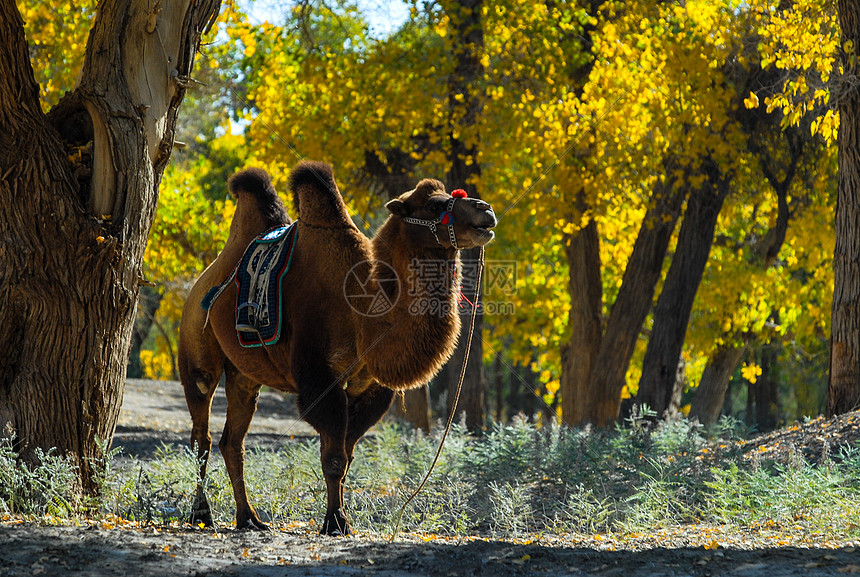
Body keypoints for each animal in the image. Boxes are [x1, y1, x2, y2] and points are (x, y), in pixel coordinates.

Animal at [176, 160, 498, 532]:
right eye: (434, 205)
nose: (485, 210)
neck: (365, 316)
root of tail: (204, 279)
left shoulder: (369, 387)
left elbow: (346, 458)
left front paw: (340, 517)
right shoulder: (319, 377)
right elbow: (333, 458)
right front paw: (335, 522)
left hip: (245, 374)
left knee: (233, 442)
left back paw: (249, 518)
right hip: (198, 350)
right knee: (201, 435)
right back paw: (202, 514)